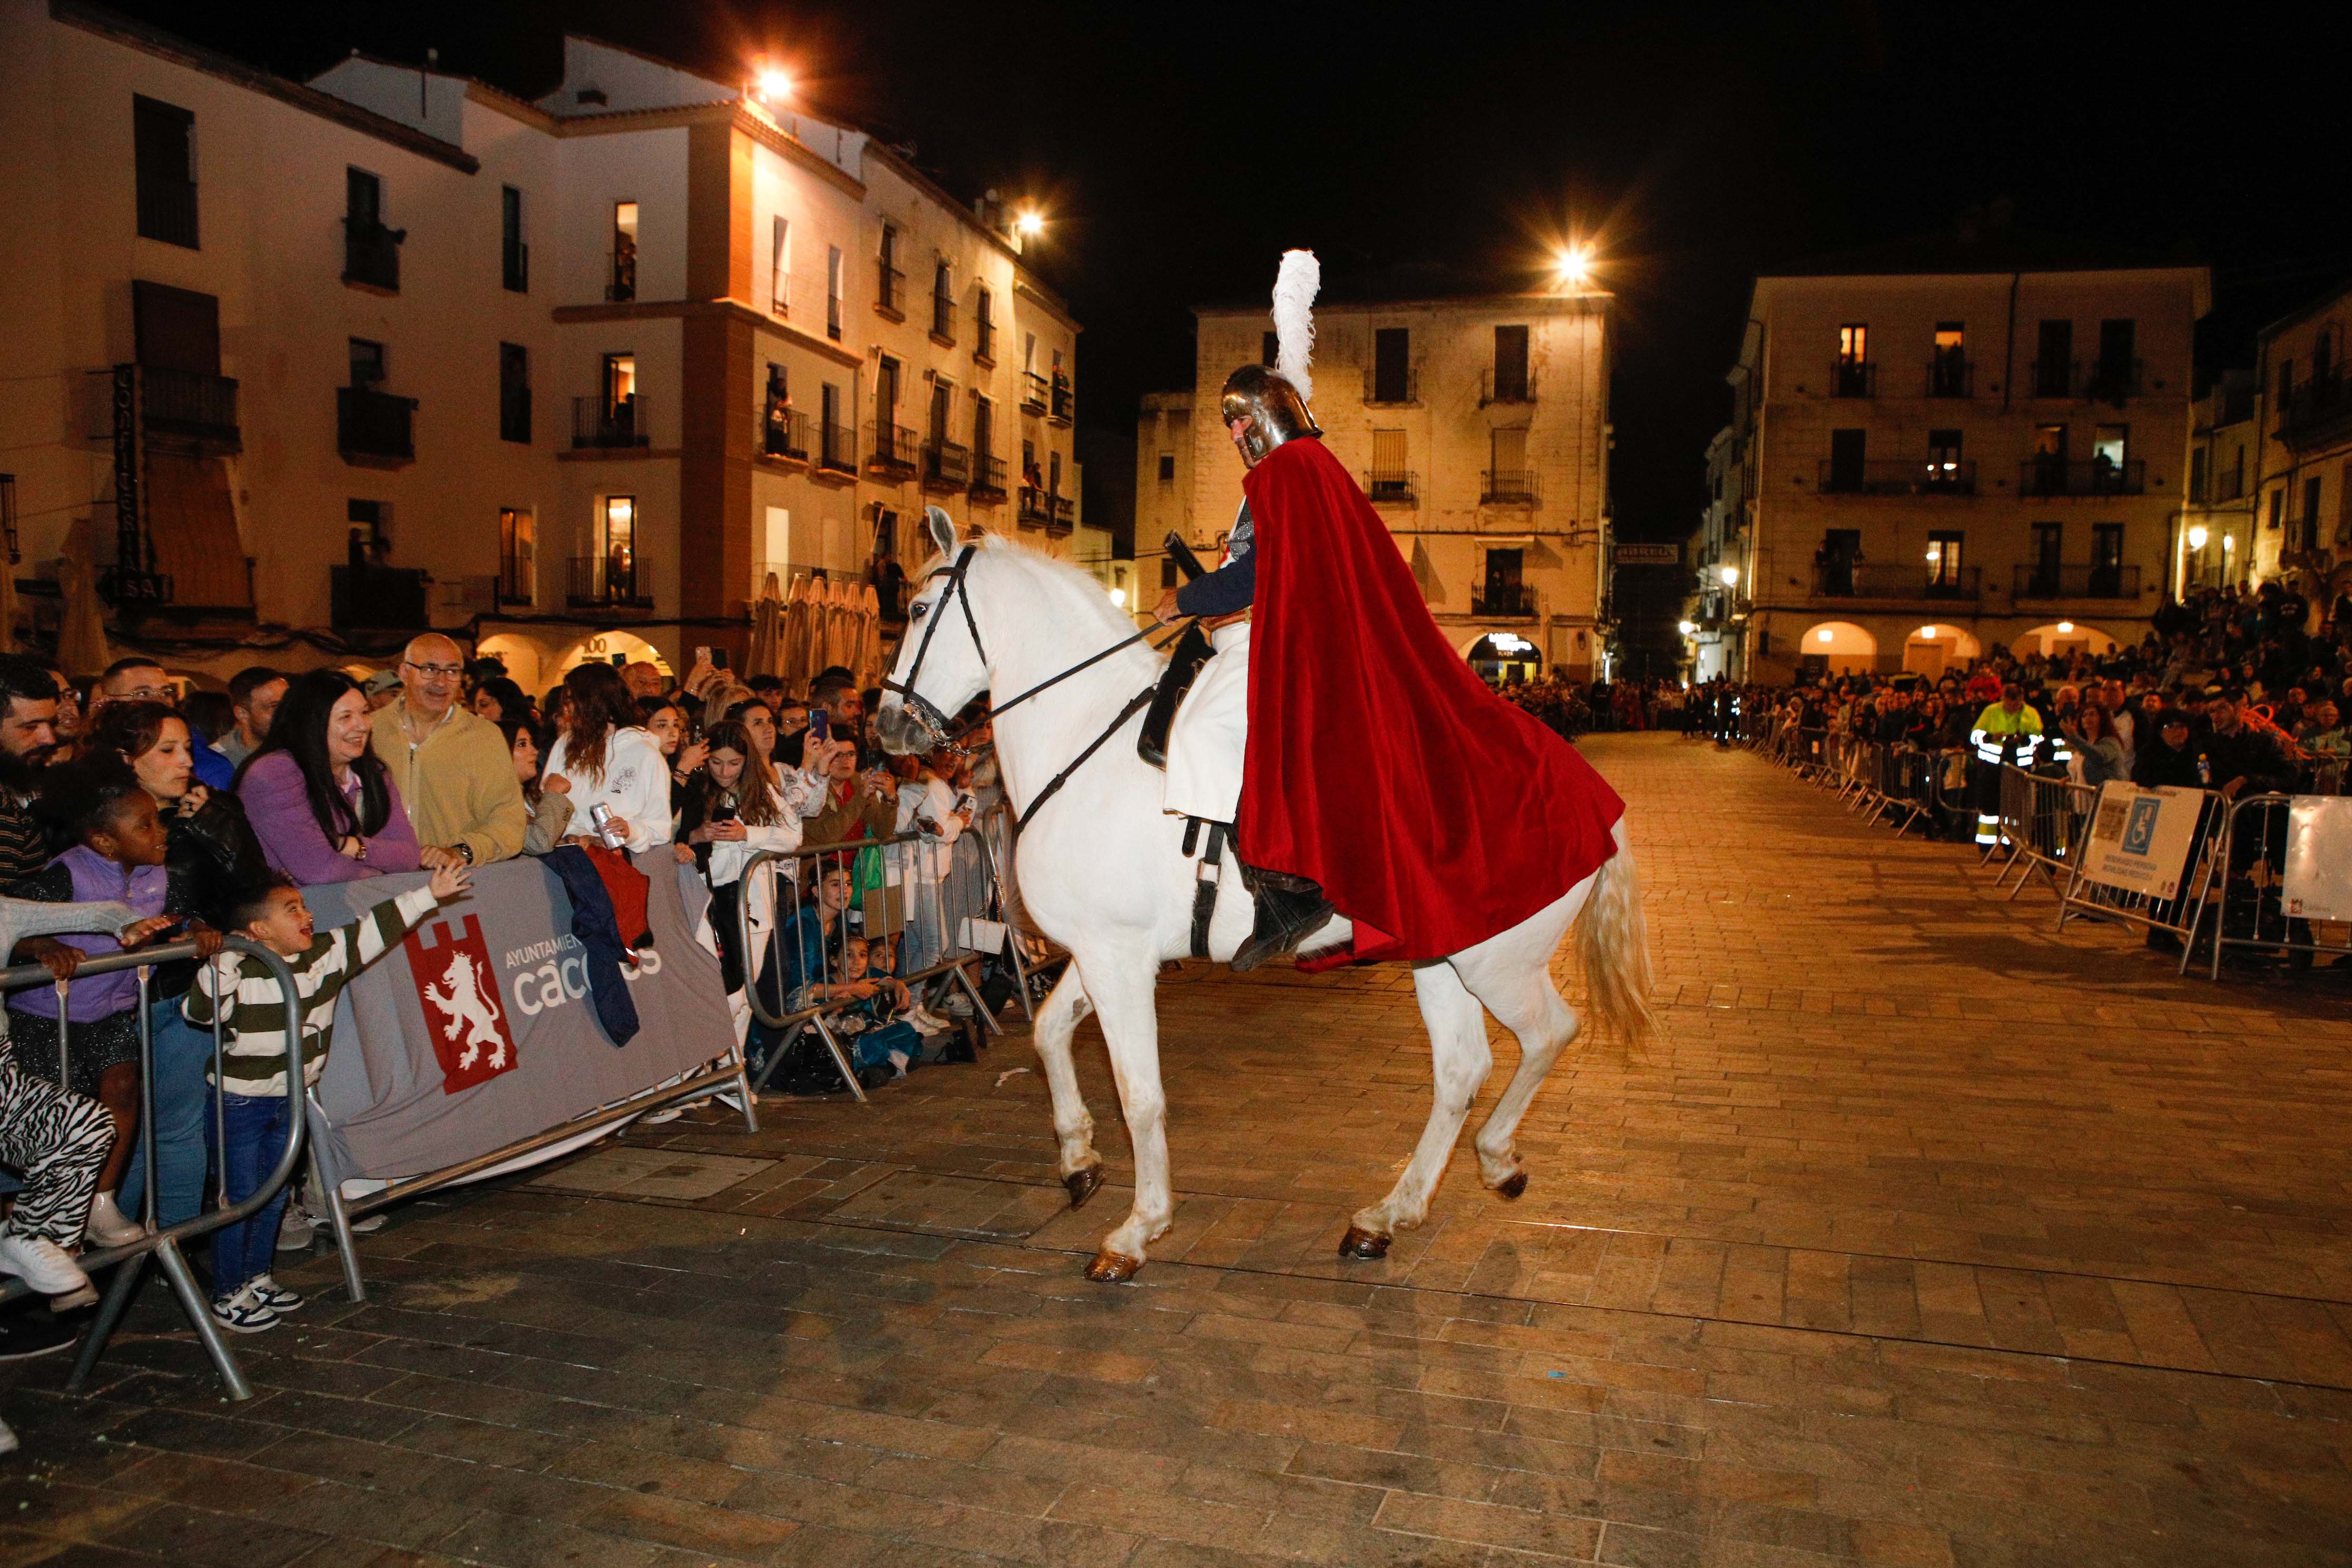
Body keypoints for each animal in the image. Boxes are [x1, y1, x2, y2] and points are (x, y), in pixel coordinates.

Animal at [884, 522, 1655, 1279]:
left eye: (918, 610)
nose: (888, 726)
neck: (1085, 740)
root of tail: (1598, 801)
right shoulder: (1105, 951)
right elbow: (1048, 1032)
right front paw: (1079, 1161)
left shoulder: (1118, 959)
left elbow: (1140, 1094)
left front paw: (1138, 1229)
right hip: (1444, 959)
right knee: (1463, 1069)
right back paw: (1388, 1216)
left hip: (1500, 963)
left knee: (1548, 1035)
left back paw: (1495, 1162)